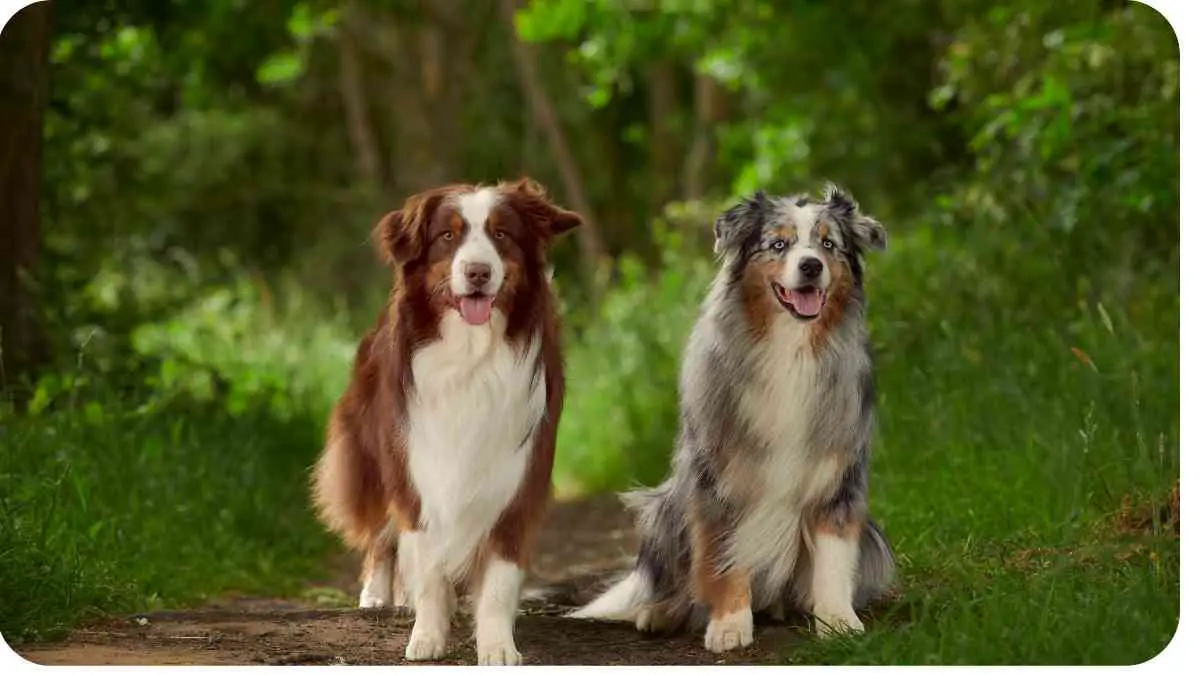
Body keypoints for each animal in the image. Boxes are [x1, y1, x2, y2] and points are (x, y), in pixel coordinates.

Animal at [314, 177, 580, 662]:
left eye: (502, 234)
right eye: (447, 236)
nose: (477, 272)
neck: (470, 356)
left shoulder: (517, 478)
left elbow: (498, 581)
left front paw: (497, 646)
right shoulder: (416, 468)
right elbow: (428, 566)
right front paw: (428, 636)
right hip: (373, 458)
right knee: (382, 536)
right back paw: (377, 595)